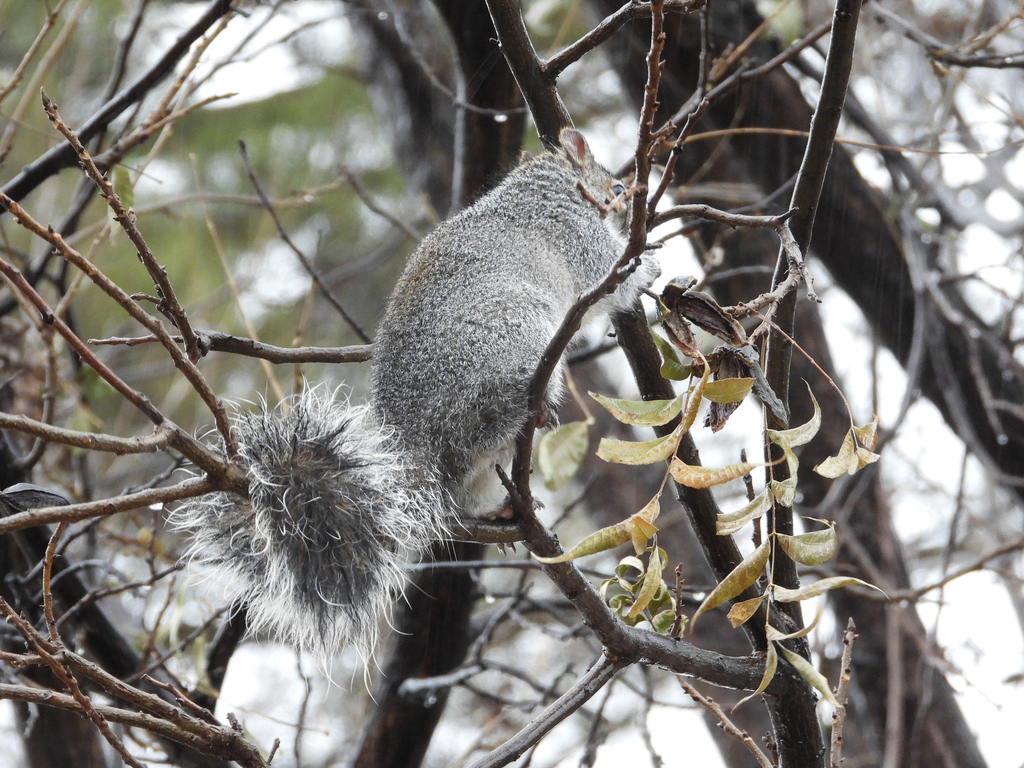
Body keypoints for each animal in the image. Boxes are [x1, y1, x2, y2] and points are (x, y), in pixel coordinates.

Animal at [176, 129, 660, 660]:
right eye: (617, 187)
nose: (626, 200)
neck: (543, 187)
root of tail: (424, 450)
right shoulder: (574, 233)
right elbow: (610, 272)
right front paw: (648, 264)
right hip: (512, 334)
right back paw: (531, 414)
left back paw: (502, 509)